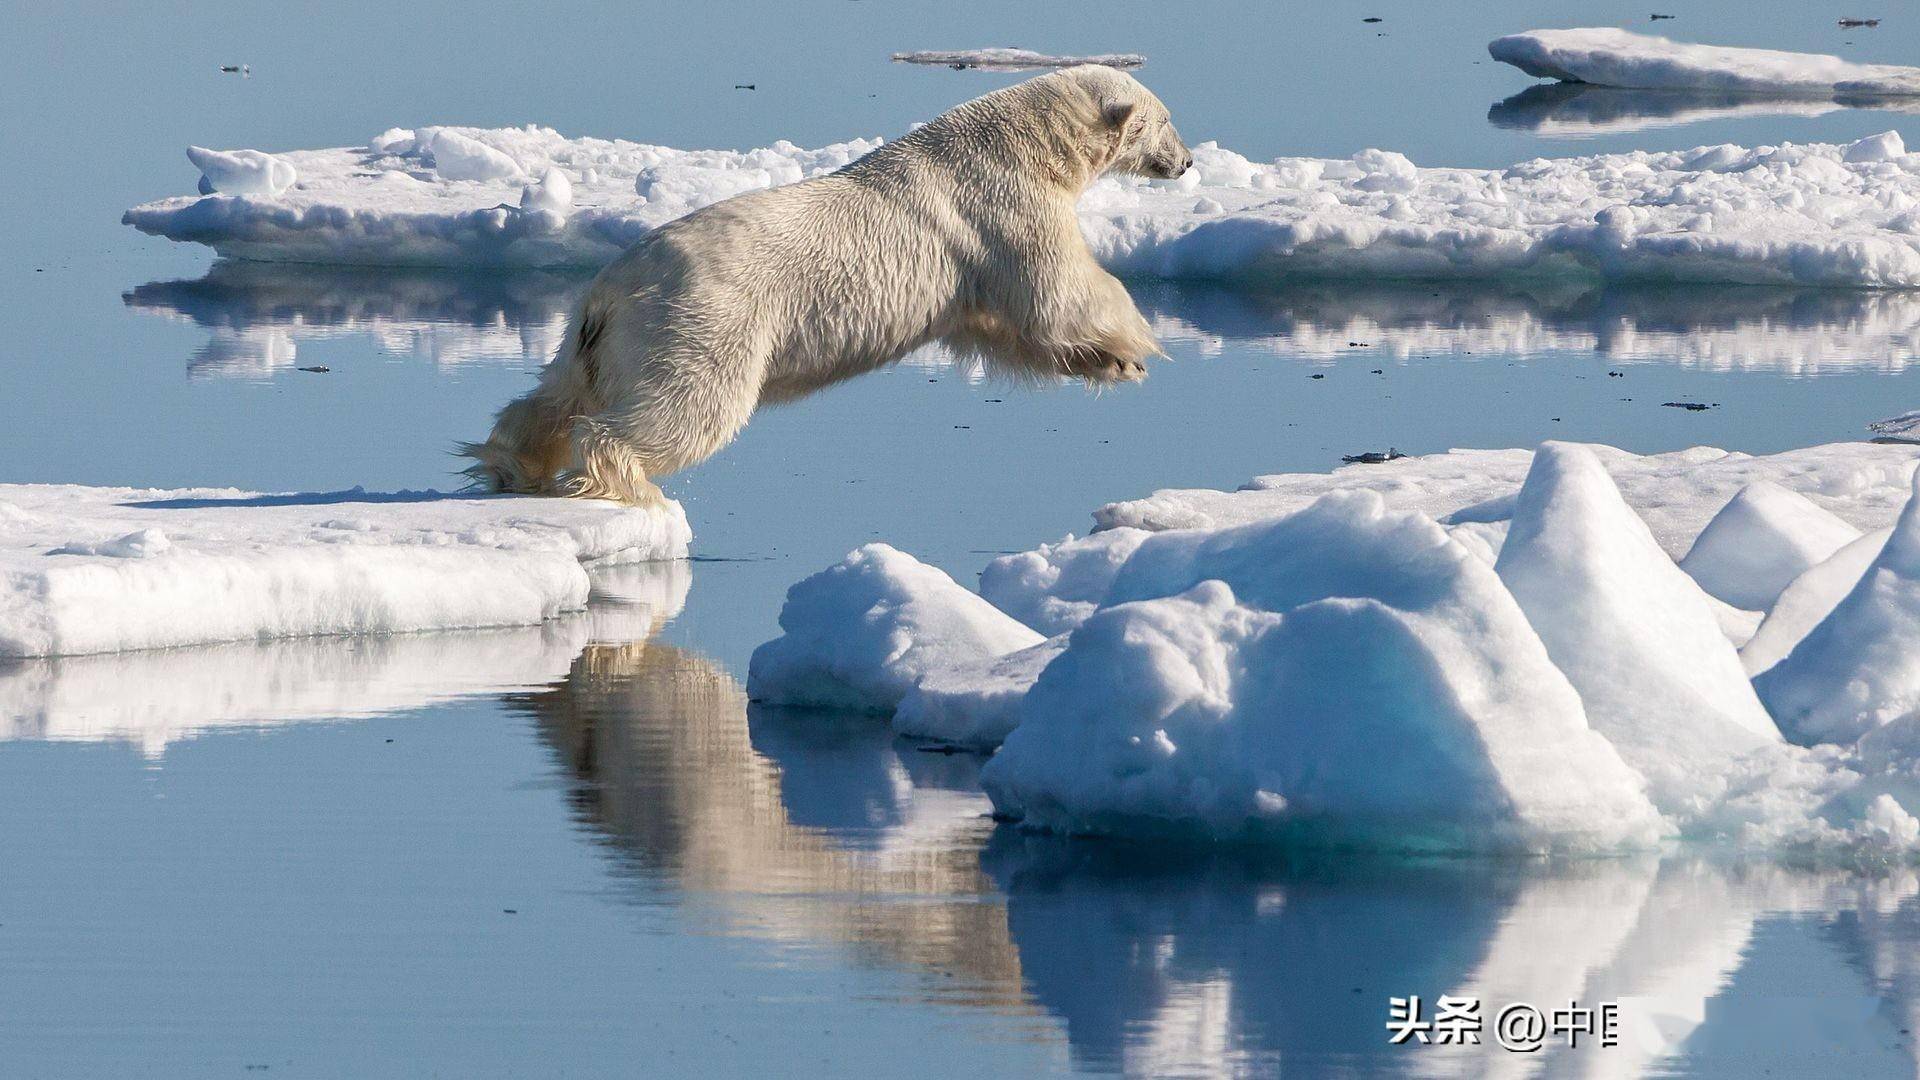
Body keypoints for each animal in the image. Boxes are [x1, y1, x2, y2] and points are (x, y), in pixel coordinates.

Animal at [460, 65, 1182, 503]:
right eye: (1169, 121)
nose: (1185, 163)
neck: (1020, 141)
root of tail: (607, 292)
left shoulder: (969, 266)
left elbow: (1000, 330)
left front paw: (1111, 363)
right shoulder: (1000, 206)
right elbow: (1057, 291)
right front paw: (1138, 343)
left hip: (599, 336)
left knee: (557, 393)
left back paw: (509, 463)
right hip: (699, 318)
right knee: (681, 409)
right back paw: (630, 481)